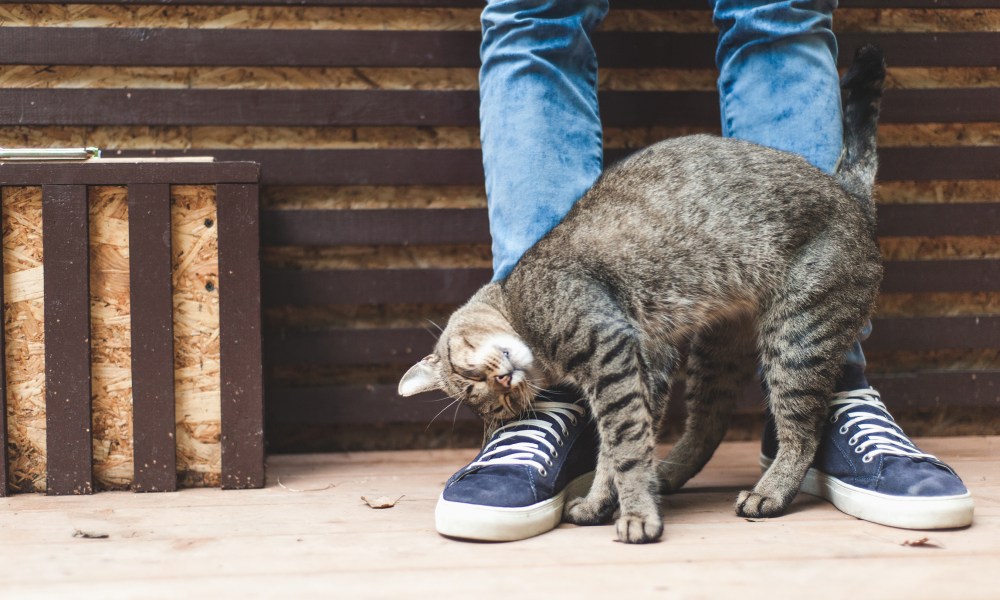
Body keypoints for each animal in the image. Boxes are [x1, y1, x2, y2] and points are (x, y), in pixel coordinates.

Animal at [396, 45, 884, 544]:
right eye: (500, 405)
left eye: (469, 378)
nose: (504, 383)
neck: (518, 304)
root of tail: (849, 195)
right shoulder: (644, 364)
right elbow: (618, 448)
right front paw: (602, 501)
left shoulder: (610, 353)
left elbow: (624, 446)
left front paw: (634, 514)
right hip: (716, 351)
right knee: (709, 423)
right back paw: (670, 473)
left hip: (798, 335)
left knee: (804, 430)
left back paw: (769, 491)